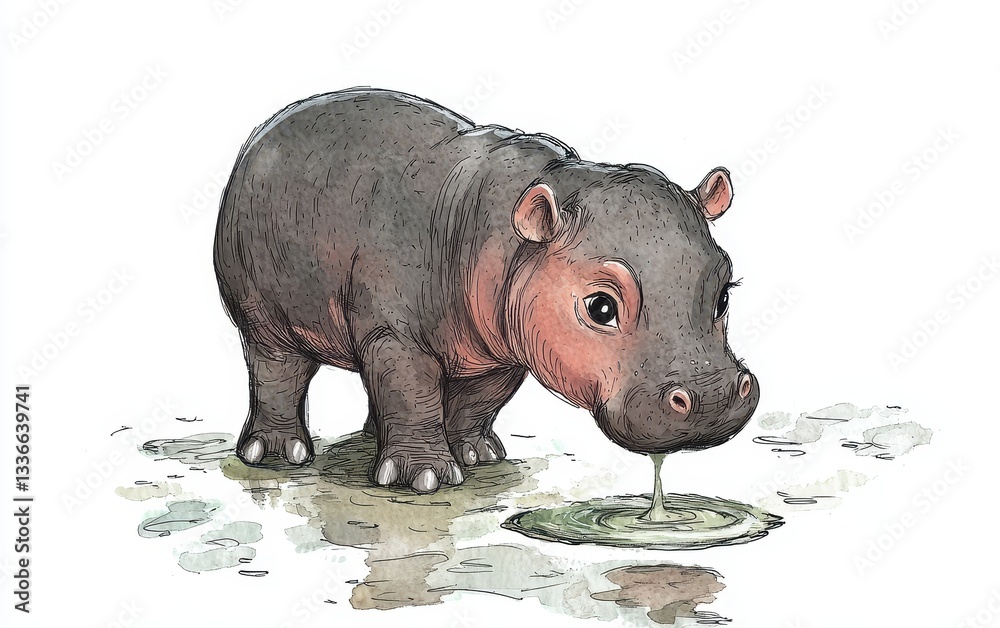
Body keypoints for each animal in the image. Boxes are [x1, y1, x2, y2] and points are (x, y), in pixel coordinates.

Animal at [213, 88, 759, 493]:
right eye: (600, 306)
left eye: (724, 294)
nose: (710, 399)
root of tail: (261, 136)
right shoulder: (397, 335)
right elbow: (411, 391)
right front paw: (425, 478)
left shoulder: (500, 349)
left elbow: (478, 399)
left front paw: (477, 454)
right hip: (263, 315)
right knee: (277, 372)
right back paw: (279, 455)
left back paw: (371, 439)